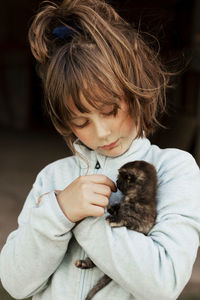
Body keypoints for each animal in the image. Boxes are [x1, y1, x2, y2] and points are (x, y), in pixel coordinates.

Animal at [75, 161, 158, 298]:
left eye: (121, 177)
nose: (116, 180)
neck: (138, 197)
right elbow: (118, 208)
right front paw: (112, 208)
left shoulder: (141, 222)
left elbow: (126, 218)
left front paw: (114, 219)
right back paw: (82, 263)